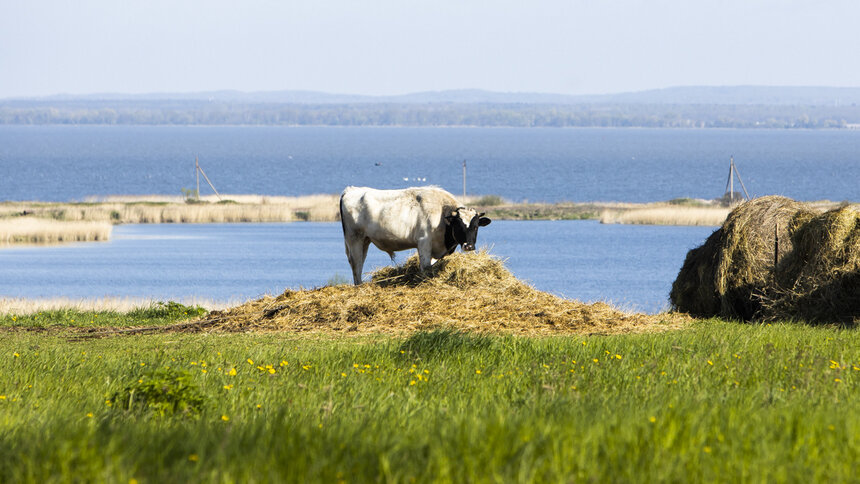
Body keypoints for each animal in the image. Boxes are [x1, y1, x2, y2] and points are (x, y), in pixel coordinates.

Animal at [340, 184, 494, 284]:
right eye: (459, 226)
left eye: (475, 227)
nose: (469, 246)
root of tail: (351, 190)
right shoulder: (424, 242)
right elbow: (425, 268)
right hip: (354, 238)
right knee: (357, 263)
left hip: (365, 240)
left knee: (360, 261)